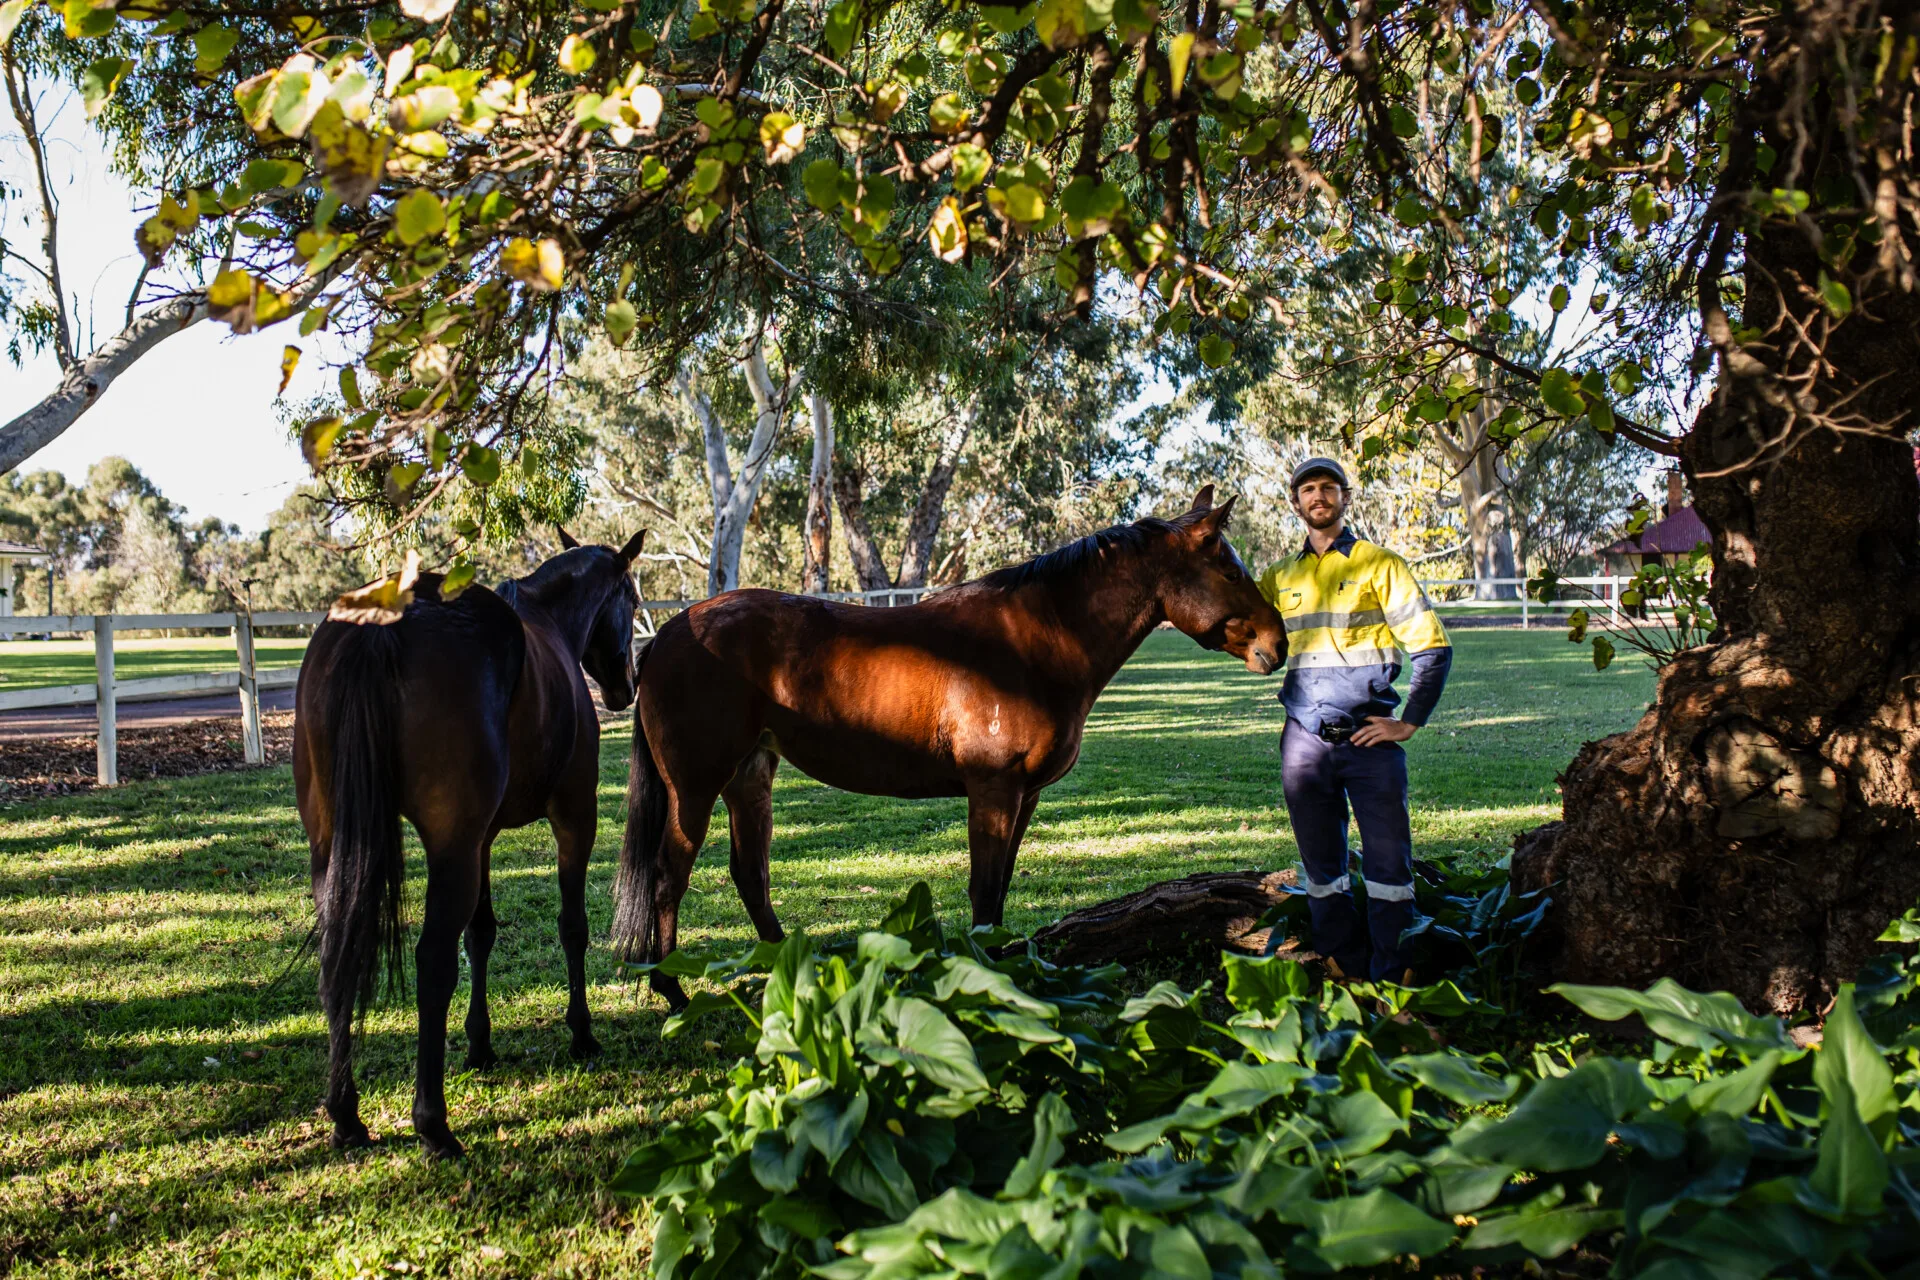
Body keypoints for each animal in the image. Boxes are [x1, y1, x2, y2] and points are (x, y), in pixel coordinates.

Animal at [293, 530, 644, 1159]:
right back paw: (433, 1124)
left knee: (339, 956)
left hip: (335, 847)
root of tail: (384, 620)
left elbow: (481, 936)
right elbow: (572, 927)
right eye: (630, 600)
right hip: (450, 850)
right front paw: (581, 1032)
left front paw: (480, 1046)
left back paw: (346, 1114)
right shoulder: (572, 818)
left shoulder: (482, 838)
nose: (625, 687)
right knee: (432, 961)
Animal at [615, 486, 1286, 1008]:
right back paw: (673, 991)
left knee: (749, 874)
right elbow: (983, 889)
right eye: (1230, 571)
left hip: (750, 777)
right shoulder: (992, 791)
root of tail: (670, 632)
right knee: (668, 879)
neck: (1035, 643)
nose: (1277, 643)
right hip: (694, 789)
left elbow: (1001, 886)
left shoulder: (1024, 796)